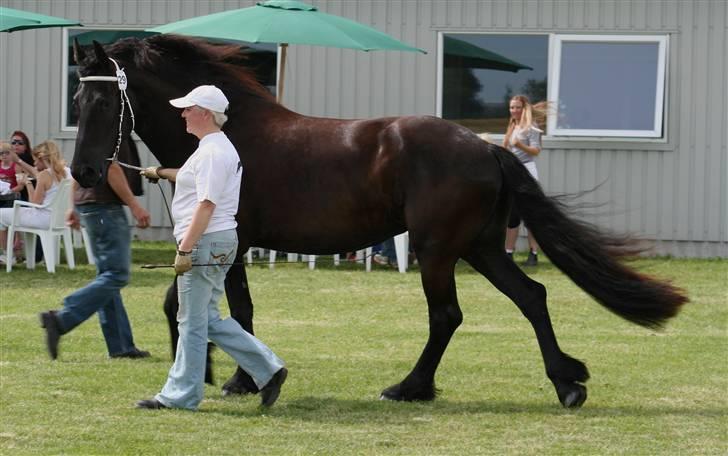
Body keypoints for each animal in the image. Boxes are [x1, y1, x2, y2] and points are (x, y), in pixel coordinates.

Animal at [69, 34, 688, 406]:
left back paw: (410, 387)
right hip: (481, 246)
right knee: (532, 296)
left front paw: (224, 377)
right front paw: (232, 377)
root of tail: (486, 149)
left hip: (439, 250)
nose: (84, 173)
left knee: (447, 315)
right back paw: (567, 383)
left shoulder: (232, 244)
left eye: (103, 102)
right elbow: (216, 309)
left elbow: (213, 308)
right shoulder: (228, 249)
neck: (232, 132)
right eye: (77, 100)